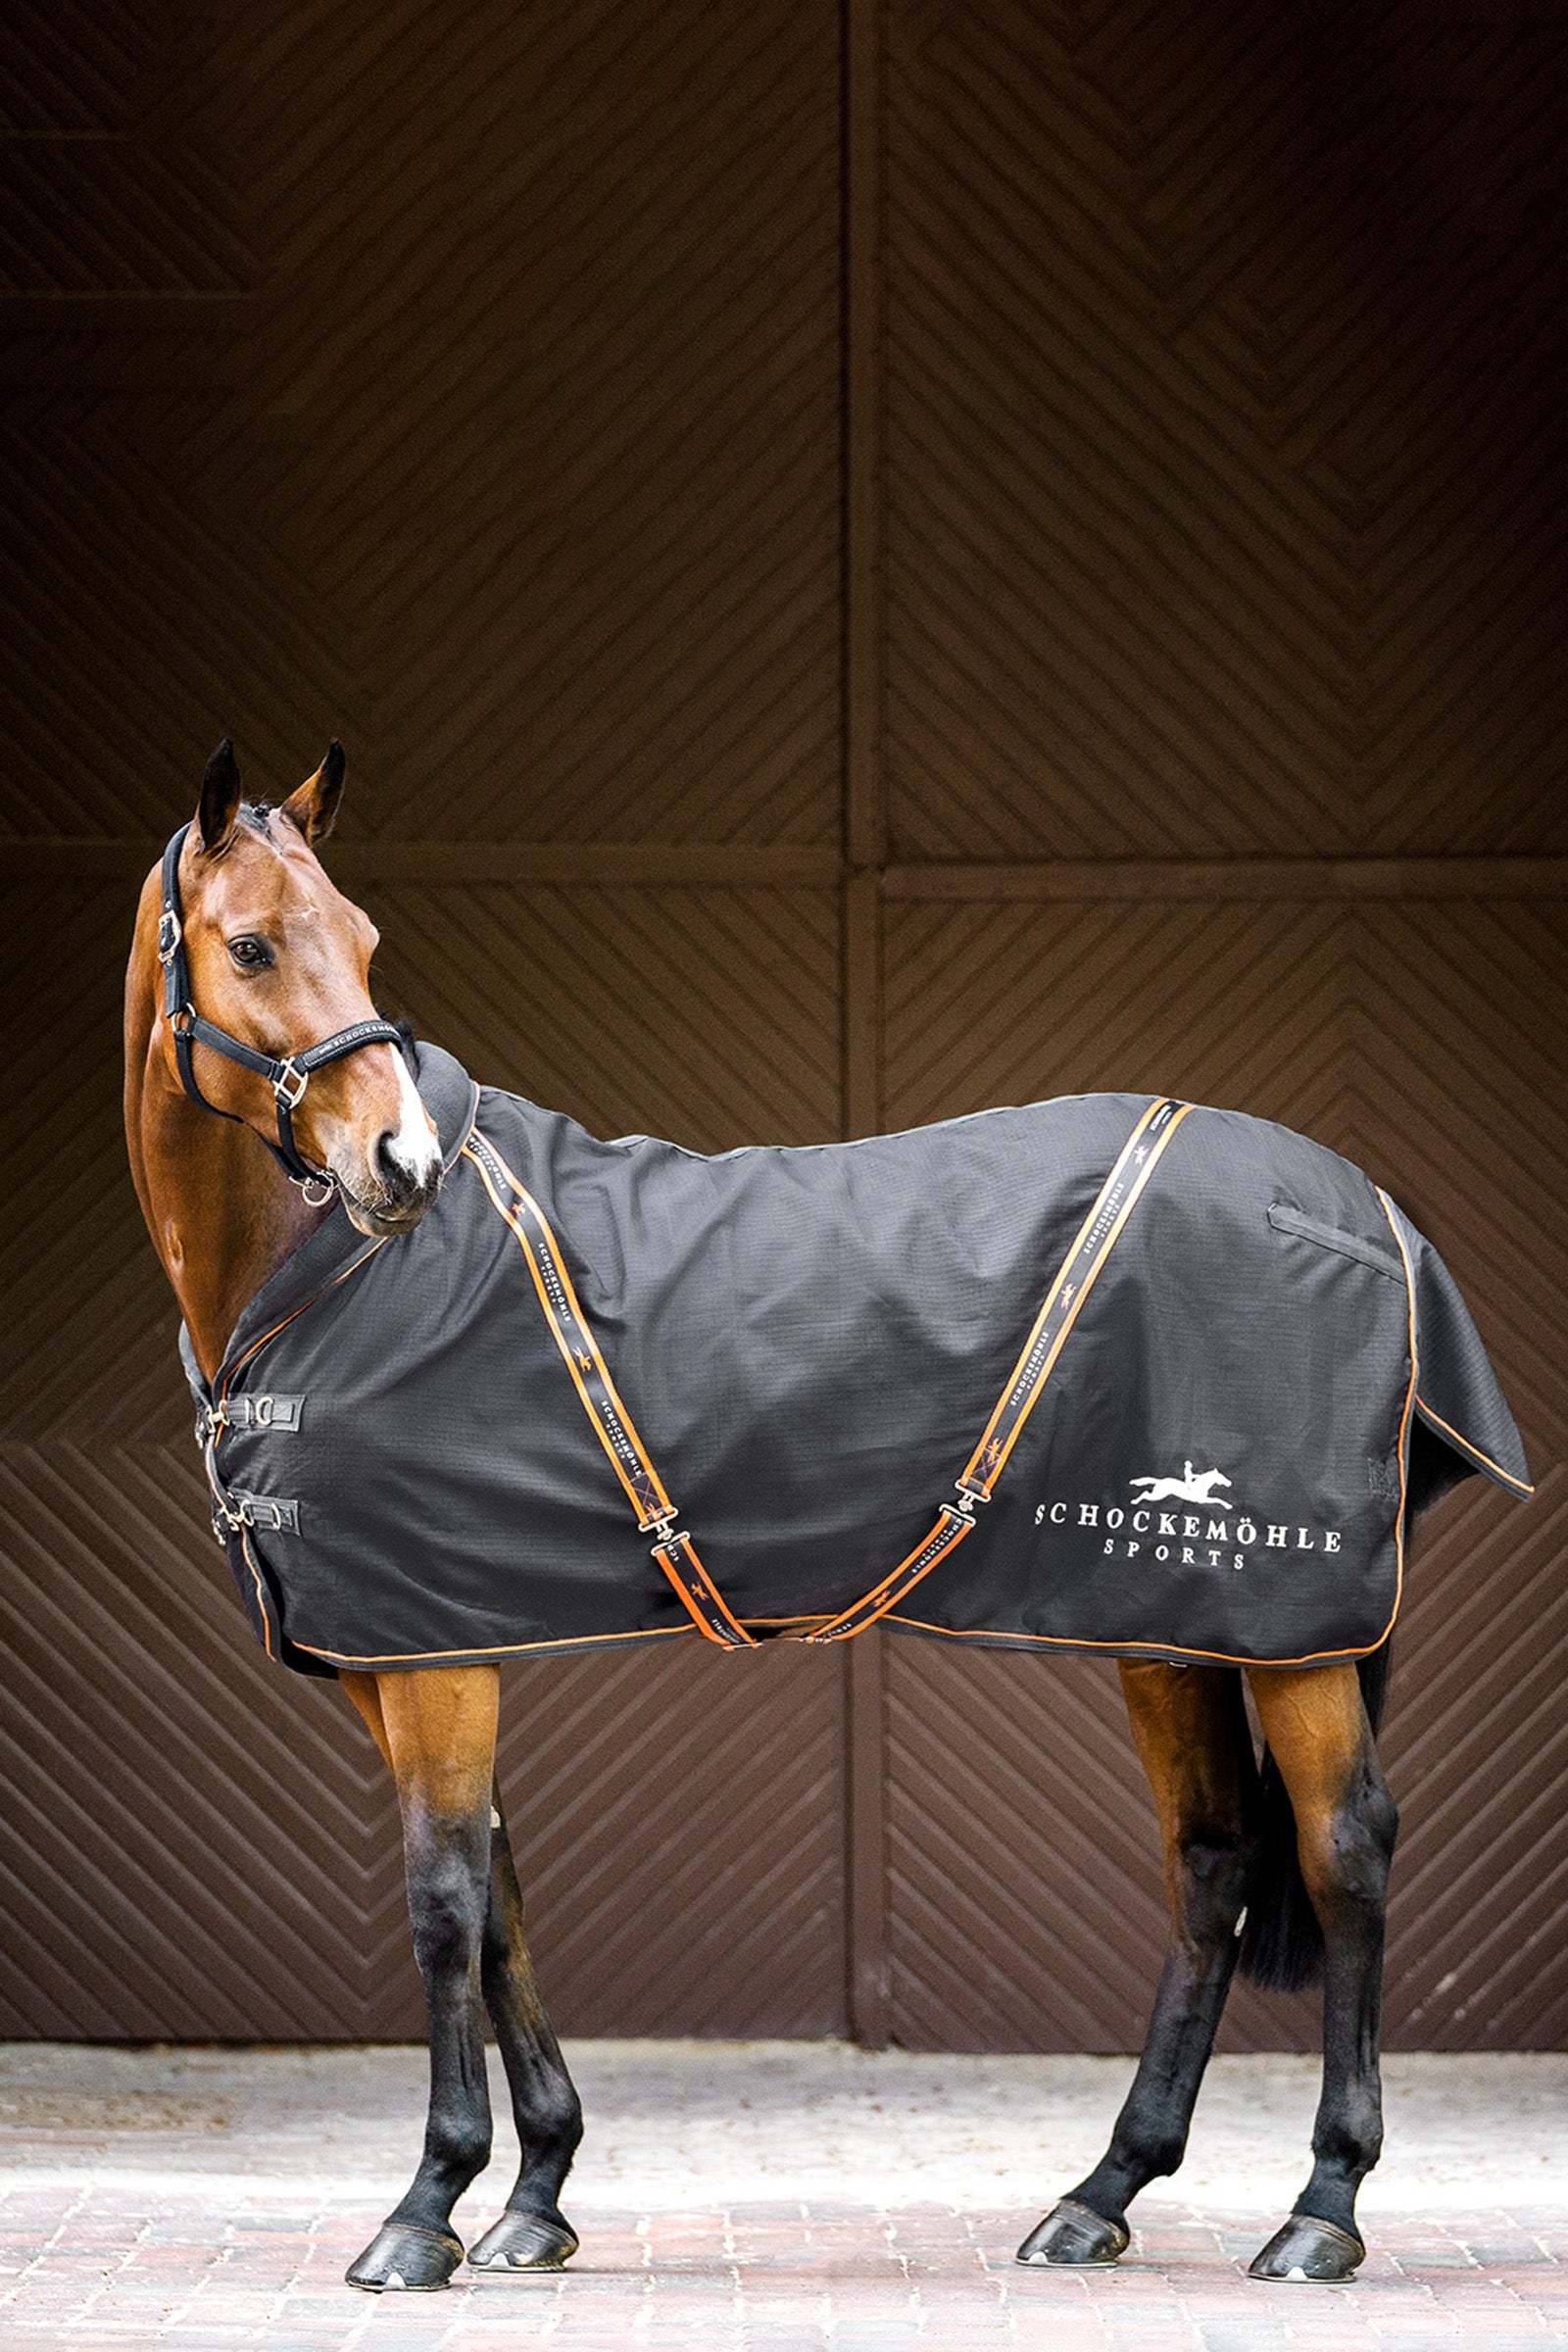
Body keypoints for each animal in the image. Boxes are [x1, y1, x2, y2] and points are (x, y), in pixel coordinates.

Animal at [123, 741, 1510, 2294]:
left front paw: (428, 2204)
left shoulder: (435, 1654)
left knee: (1344, 1856)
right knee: (1210, 1863)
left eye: (364, 942)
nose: (400, 1164)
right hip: (1172, 1628)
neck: (325, 1278)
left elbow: (444, 1907)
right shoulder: (405, 1656)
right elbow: (501, 1896)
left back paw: (1321, 2207)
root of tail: (1363, 1209)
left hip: (1294, 1638)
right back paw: (1102, 2191)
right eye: (252, 944)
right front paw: (536, 2192)